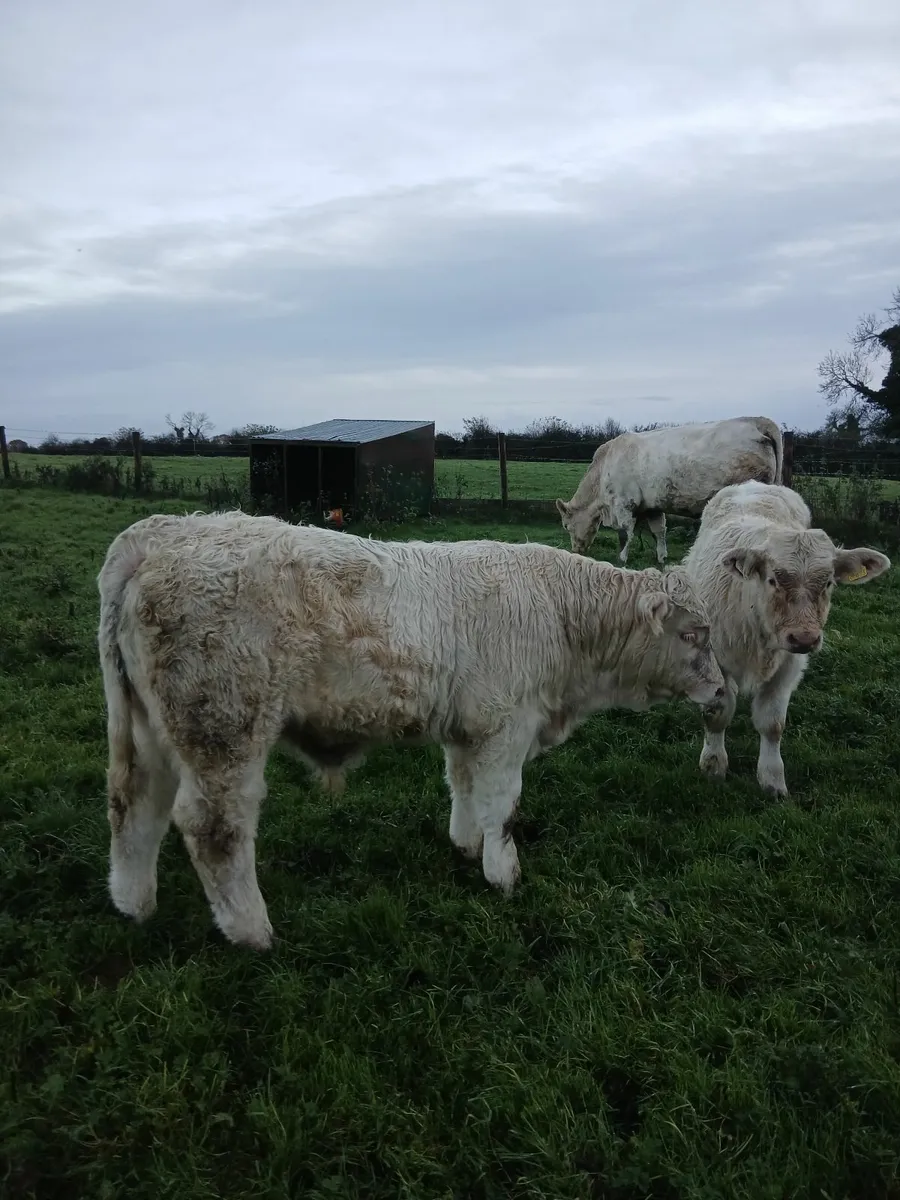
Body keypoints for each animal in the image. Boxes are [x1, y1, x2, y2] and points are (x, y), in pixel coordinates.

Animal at [97, 511, 725, 950]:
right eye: (693, 634)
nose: (723, 689)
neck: (561, 619)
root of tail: (162, 532)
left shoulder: (470, 728)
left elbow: (465, 789)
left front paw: (466, 847)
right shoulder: (506, 726)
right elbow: (503, 805)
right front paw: (505, 875)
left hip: (151, 729)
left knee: (134, 804)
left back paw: (133, 903)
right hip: (224, 726)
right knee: (213, 826)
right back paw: (252, 931)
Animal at [555, 416, 783, 564]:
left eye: (566, 526)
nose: (575, 550)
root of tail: (758, 421)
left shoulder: (623, 504)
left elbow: (624, 533)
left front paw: (621, 559)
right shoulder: (652, 506)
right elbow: (659, 531)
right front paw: (661, 557)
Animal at [681, 480, 890, 796]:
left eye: (828, 582)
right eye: (773, 579)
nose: (804, 638)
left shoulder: (789, 666)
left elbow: (772, 724)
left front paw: (772, 780)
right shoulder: (714, 659)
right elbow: (716, 714)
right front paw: (714, 766)